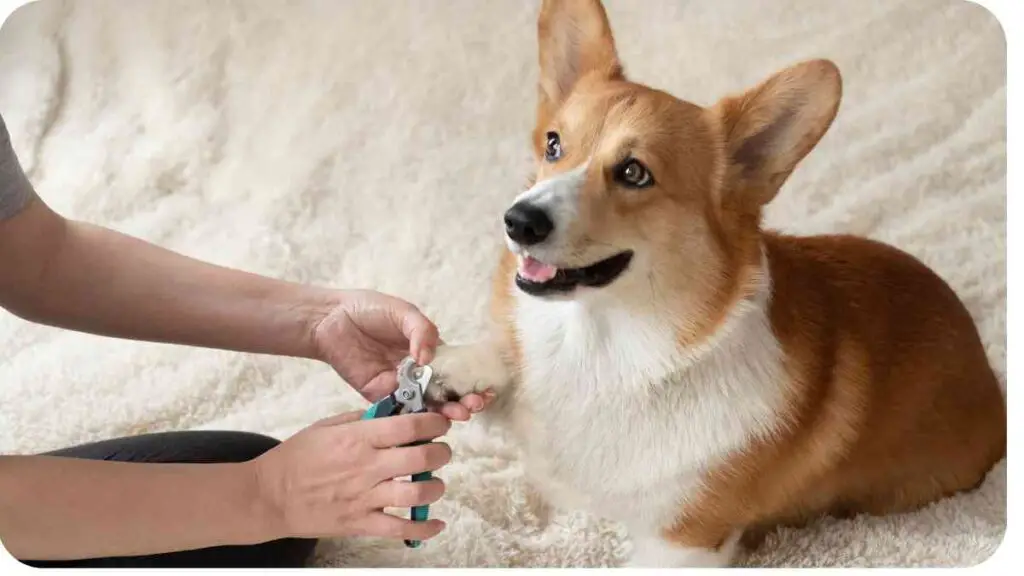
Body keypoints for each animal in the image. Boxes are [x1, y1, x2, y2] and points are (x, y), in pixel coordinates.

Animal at [423, 0, 1007, 565]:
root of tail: (984, 370)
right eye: (553, 145)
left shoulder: (682, 545)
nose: (518, 221)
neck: (603, 349)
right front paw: (457, 365)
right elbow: (504, 354)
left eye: (634, 172)